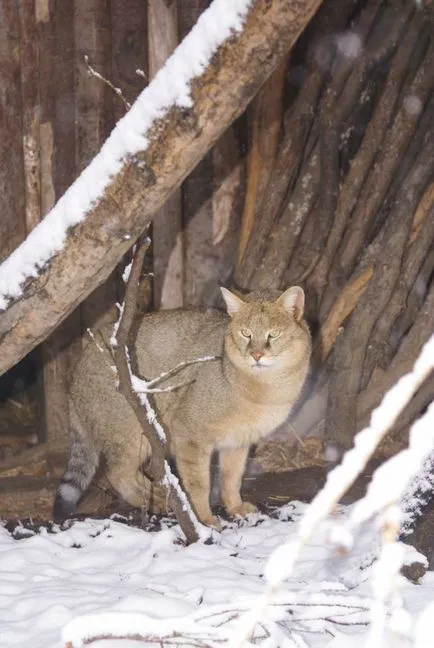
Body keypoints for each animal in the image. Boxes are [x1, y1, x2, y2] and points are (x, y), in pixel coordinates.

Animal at [54, 288, 310, 528]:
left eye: (273, 335)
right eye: (245, 333)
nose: (256, 355)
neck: (265, 391)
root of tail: (74, 376)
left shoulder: (238, 440)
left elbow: (231, 477)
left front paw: (234, 506)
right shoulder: (190, 433)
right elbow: (199, 483)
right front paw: (203, 519)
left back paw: (157, 495)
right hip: (132, 434)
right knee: (116, 473)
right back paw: (155, 498)